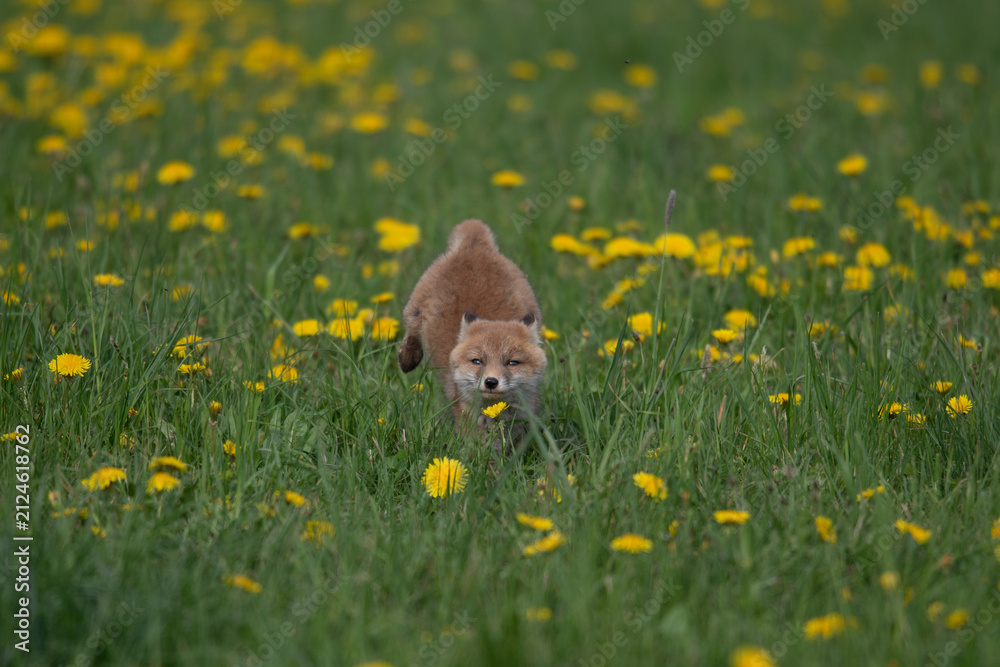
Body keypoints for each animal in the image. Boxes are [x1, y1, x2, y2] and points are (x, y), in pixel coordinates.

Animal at [398, 219, 547, 447]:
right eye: (477, 361)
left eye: (512, 362)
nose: (491, 382)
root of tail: (474, 238)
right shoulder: (469, 423)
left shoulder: (524, 420)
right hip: (413, 313)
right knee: (411, 335)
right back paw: (407, 358)